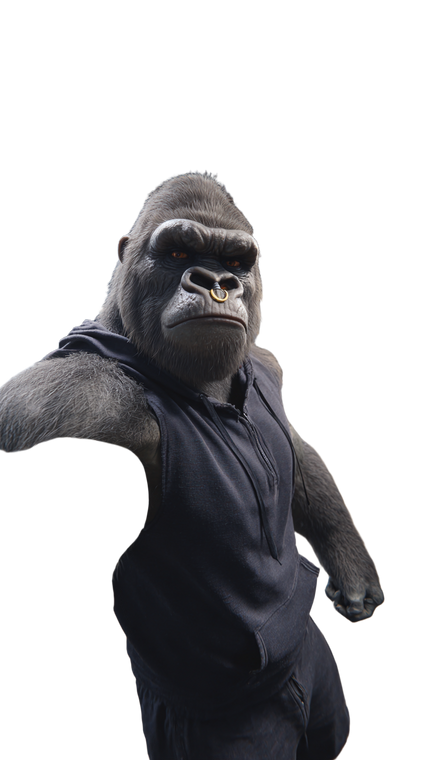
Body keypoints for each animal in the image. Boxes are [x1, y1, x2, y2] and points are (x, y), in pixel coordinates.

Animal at [0, 169, 385, 759]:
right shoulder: (77, 400)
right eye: (179, 251)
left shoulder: (263, 360)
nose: (217, 282)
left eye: (236, 261)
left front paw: (356, 573)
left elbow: (297, 452)